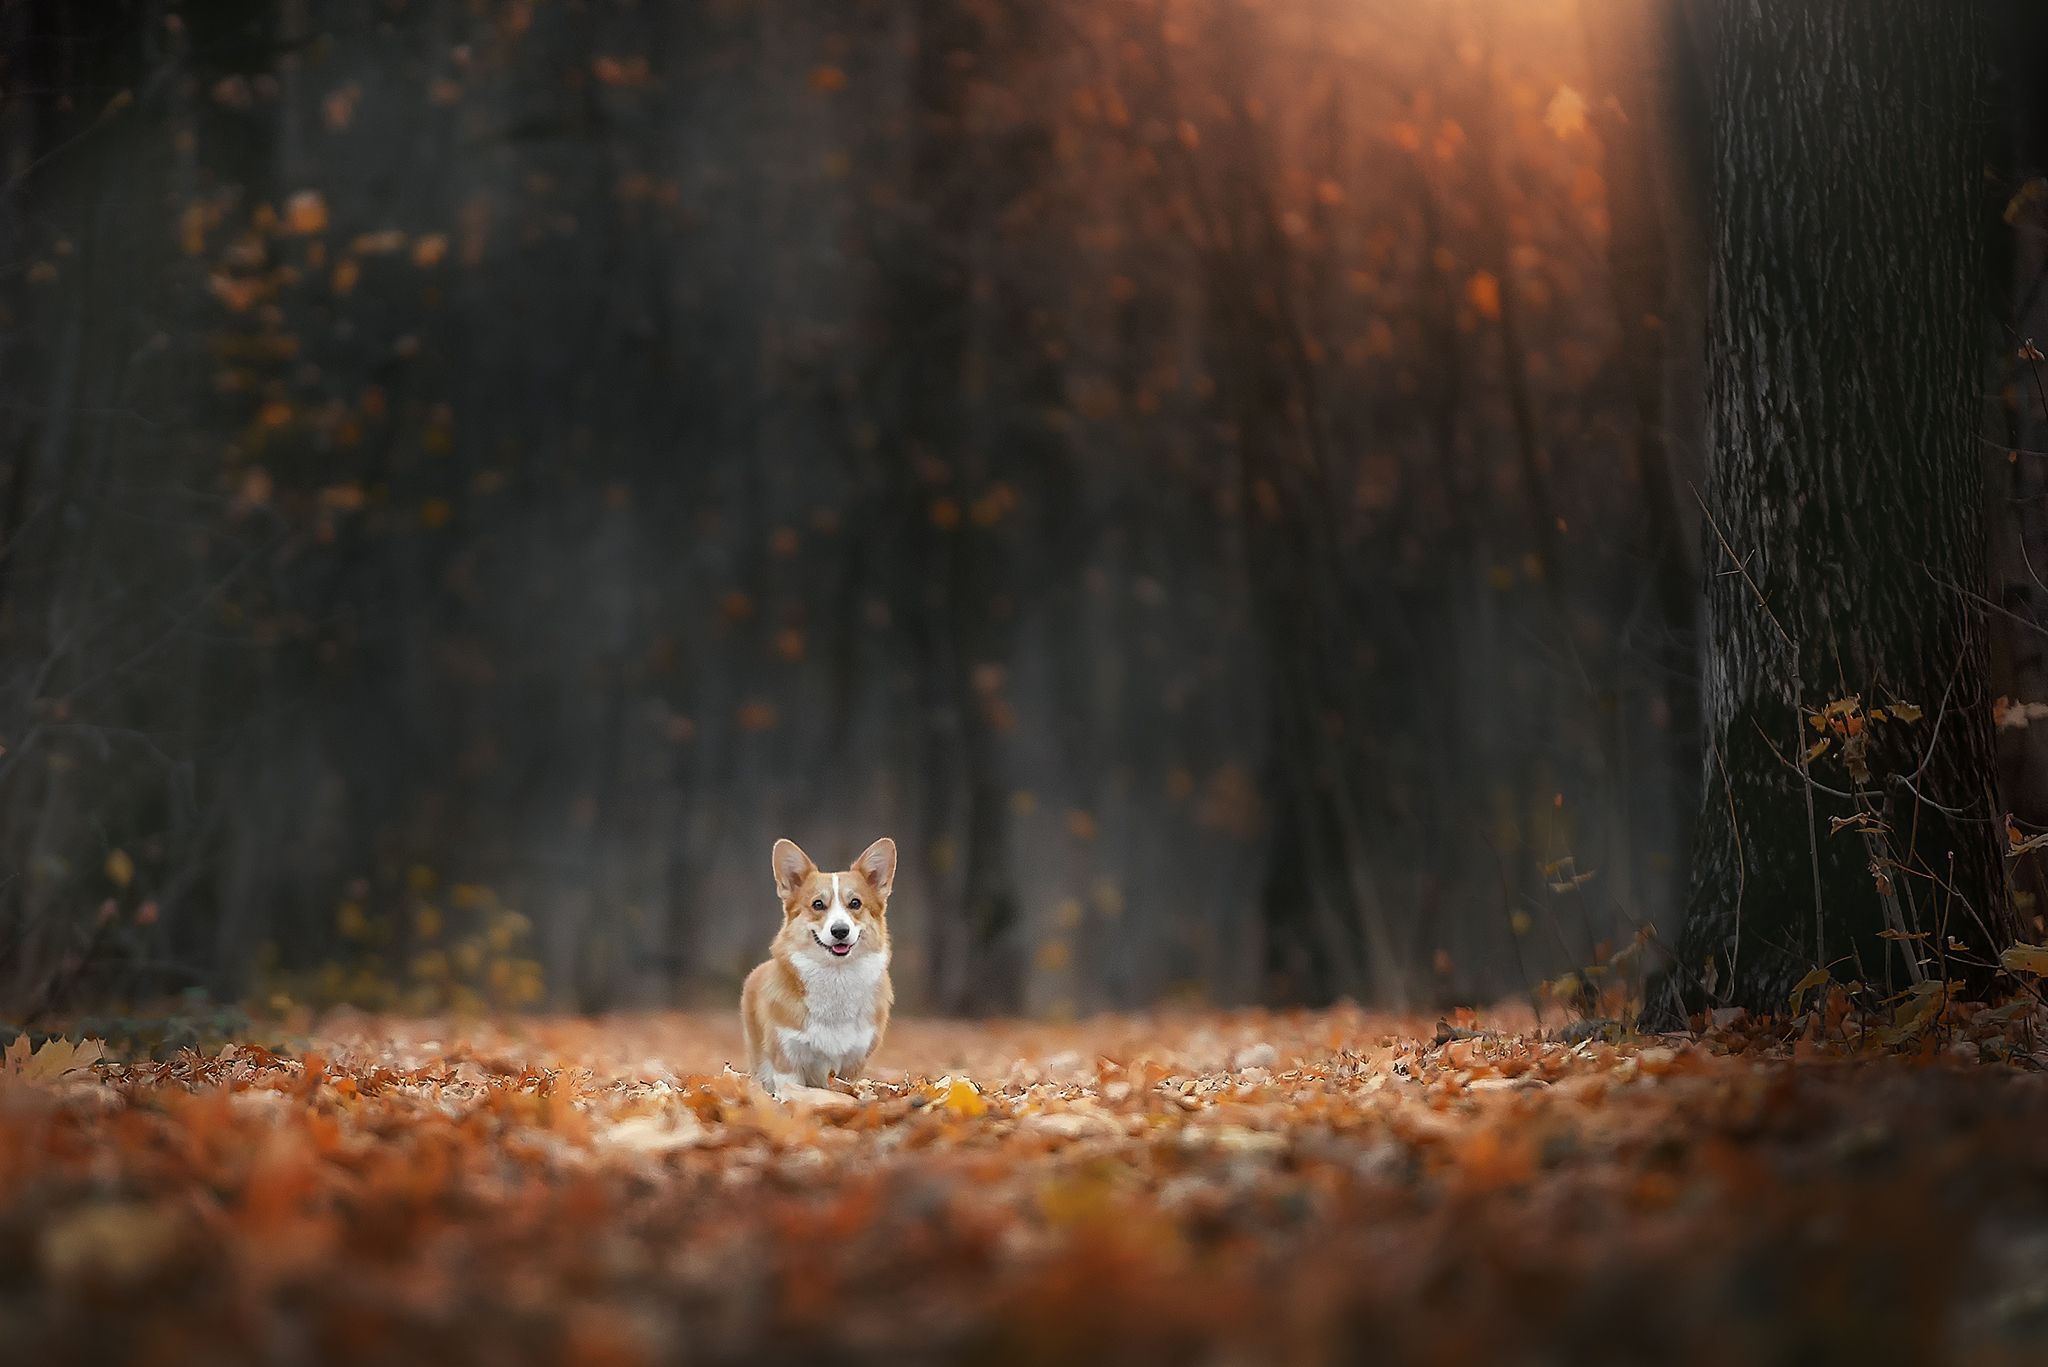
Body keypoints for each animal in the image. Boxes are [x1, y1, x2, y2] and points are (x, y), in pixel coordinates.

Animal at [741, 840, 892, 1098]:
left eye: (855, 903)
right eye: (818, 905)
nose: (840, 931)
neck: (836, 976)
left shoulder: (852, 1066)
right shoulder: (788, 1059)